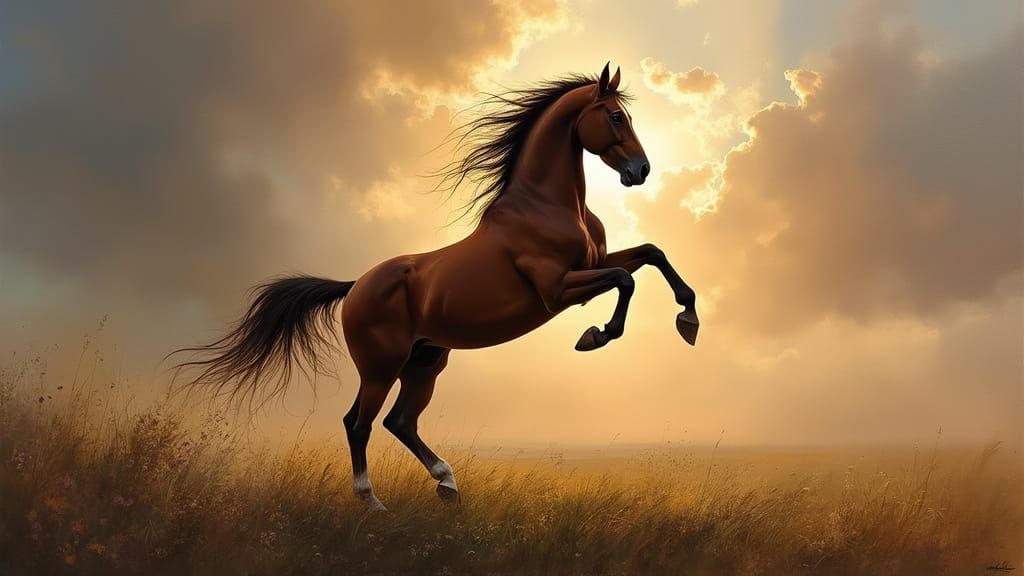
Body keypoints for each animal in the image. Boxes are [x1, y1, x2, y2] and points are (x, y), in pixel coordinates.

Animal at [174, 63, 699, 511]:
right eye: (615, 116)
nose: (640, 171)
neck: (546, 205)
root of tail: (356, 286)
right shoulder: (557, 290)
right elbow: (624, 279)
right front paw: (594, 336)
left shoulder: (593, 265)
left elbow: (652, 254)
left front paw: (687, 320)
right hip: (381, 366)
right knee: (359, 423)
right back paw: (374, 503)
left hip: (425, 361)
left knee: (398, 421)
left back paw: (447, 484)